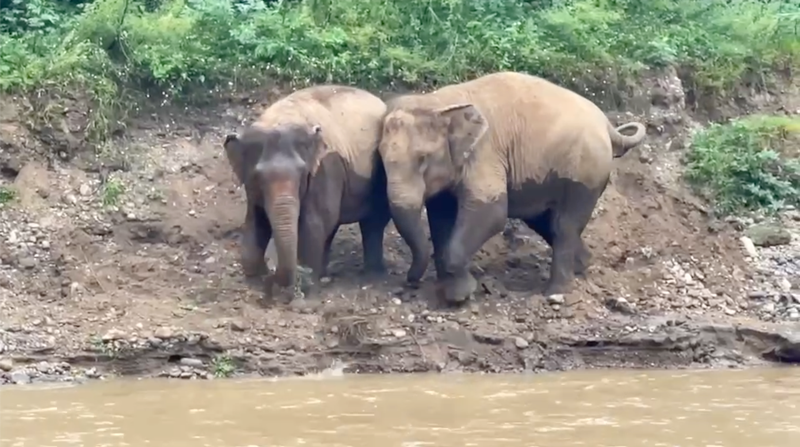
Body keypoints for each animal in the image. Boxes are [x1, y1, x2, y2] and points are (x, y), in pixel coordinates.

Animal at [222, 84, 390, 294]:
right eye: (257, 177)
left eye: (303, 173)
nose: (271, 275)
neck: (282, 118)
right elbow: (256, 221)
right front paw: (254, 278)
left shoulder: (325, 169)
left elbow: (314, 223)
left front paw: (304, 285)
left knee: (372, 223)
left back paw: (371, 275)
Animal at [378, 72, 648, 304]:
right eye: (379, 157)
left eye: (422, 159)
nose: (409, 282)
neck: (440, 100)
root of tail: (608, 125)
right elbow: (441, 216)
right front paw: (452, 290)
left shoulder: (484, 153)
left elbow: (492, 212)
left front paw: (460, 296)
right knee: (544, 221)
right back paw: (582, 266)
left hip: (585, 172)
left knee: (564, 225)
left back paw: (556, 292)